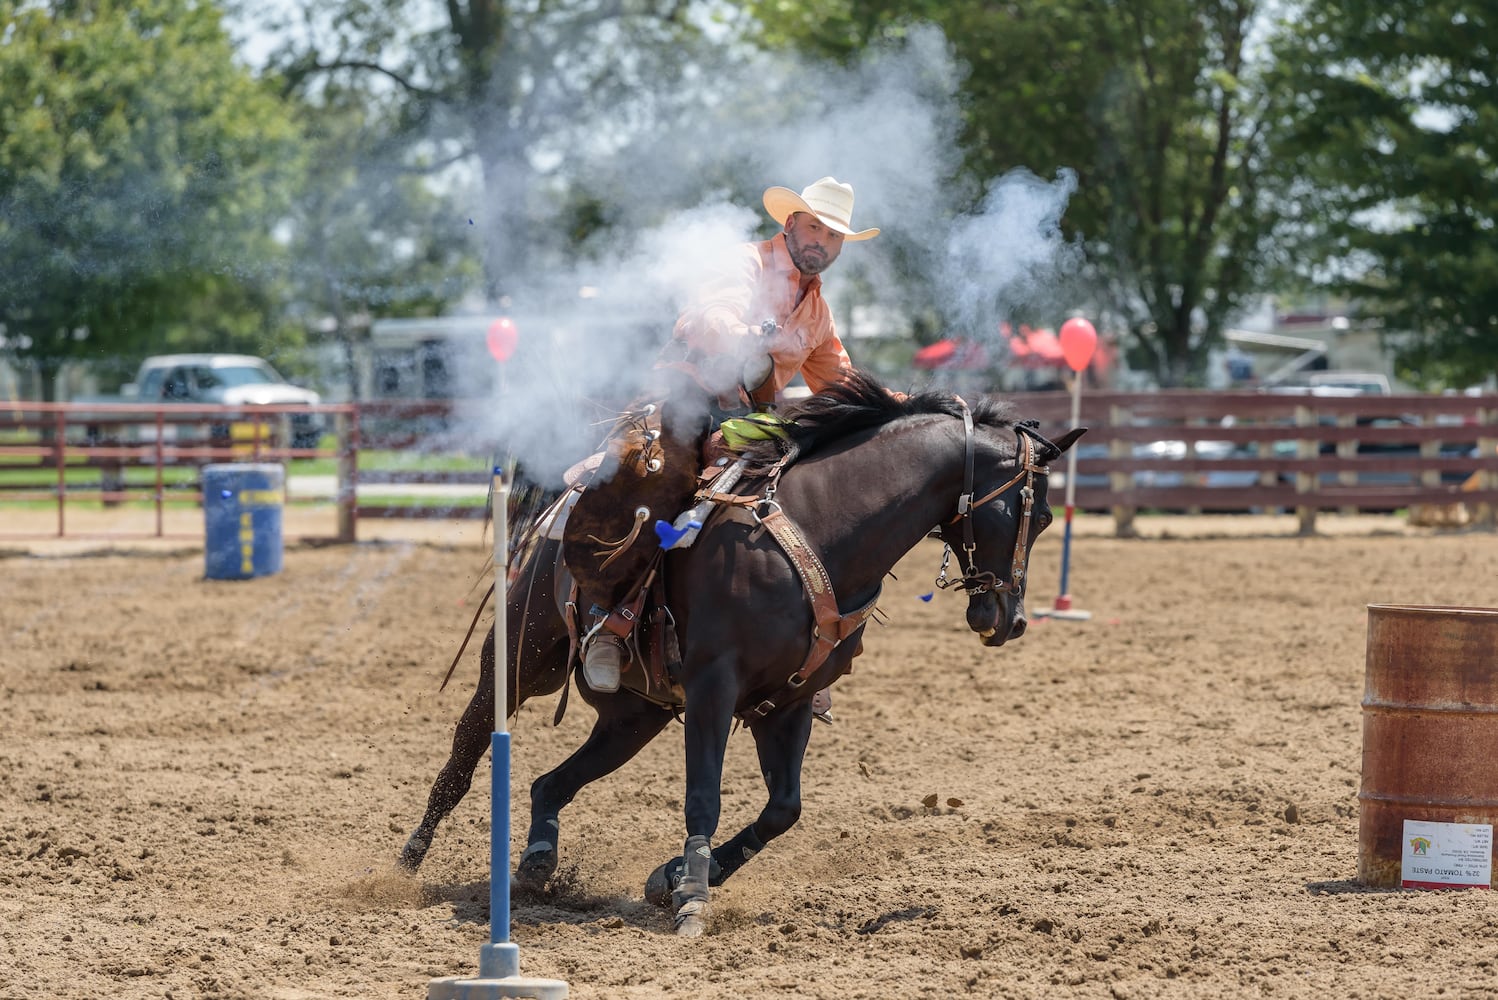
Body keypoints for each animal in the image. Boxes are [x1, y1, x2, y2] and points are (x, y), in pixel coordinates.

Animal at [398, 369, 1078, 940]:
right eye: (1036, 511)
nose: (1010, 620)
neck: (827, 529)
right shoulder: (713, 688)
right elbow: (705, 793)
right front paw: (693, 899)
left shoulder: (792, 701)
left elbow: (783, 810)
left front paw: (672, 877)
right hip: (519, 661)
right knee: (466, 748)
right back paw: (406, 862)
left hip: (635, 717)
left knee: (550, 783)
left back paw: (539, 862)